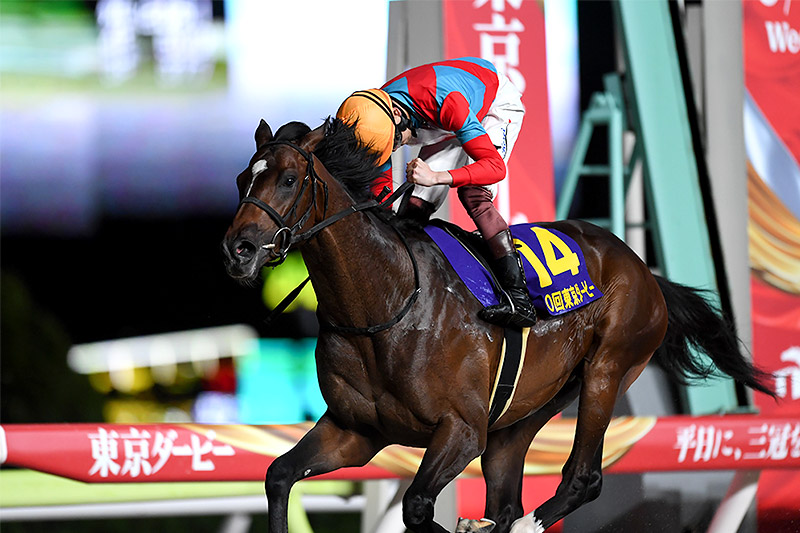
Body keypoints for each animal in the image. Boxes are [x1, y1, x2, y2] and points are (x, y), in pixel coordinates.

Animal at [221, 118, 774, 533]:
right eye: (242, 179)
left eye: (288, 179)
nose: (238, 249)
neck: (385, 305)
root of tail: (642, 268)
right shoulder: (354, 431)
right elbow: (278, 475)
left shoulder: (462, 430)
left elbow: (417, 507)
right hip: (522, 413)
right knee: (507, 496)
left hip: (607, 369)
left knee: (583, 477)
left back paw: (530, 523)